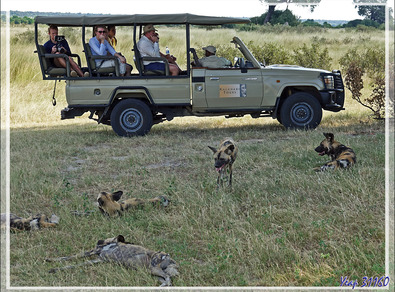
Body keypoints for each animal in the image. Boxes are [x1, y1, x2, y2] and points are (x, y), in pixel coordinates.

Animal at [45, 234, 179, 286]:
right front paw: (52, 265)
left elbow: (70, 257)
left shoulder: (93, 253)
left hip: (153, 267)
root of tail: (169, 257)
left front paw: (51, 262)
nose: (99, 242)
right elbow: (69, 262)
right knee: (167, 279)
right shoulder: (97, 259)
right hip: (153, 273)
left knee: (168, 278)